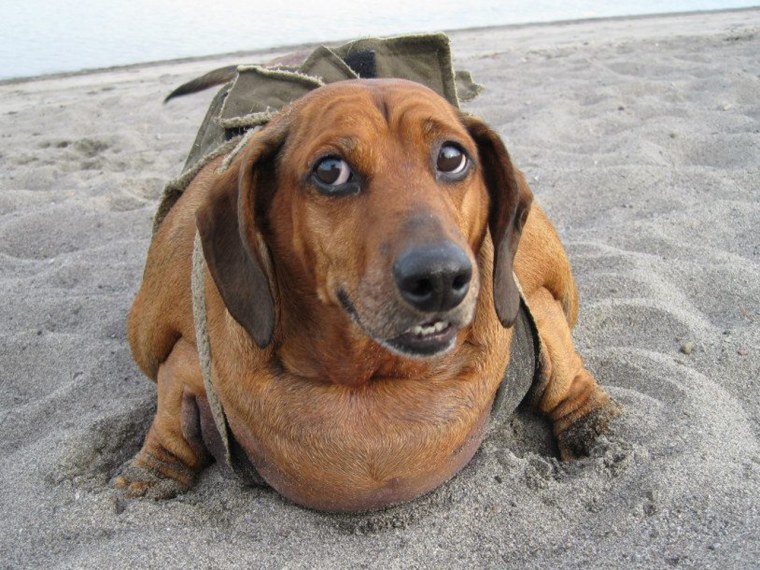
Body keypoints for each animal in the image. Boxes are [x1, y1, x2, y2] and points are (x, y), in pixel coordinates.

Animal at [117, 76, 616, 510]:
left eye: (452, 156)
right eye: (330, 170)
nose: (440, 277)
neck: (369, 385)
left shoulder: (534, 303)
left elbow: (565, 373)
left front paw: (593, 426)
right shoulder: (184, 351)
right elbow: (171, 415)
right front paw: (151, 473)